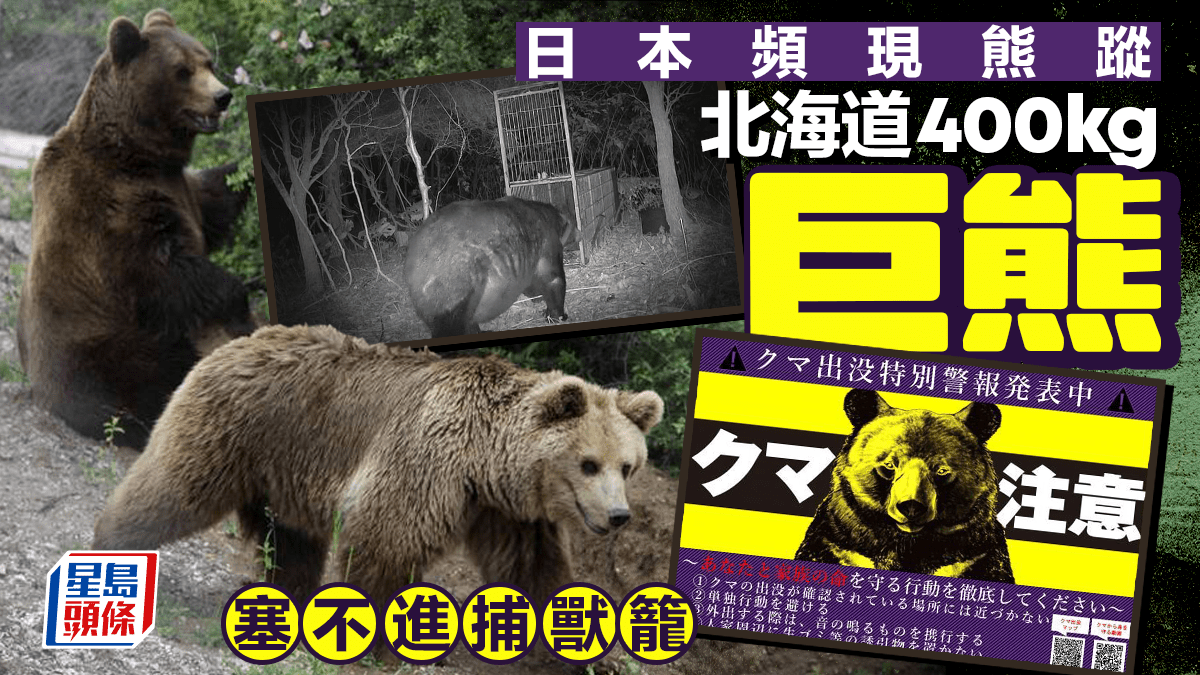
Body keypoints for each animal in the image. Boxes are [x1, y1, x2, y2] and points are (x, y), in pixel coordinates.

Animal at [16, 9, 256, 449]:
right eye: (182, 71)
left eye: (208, 62)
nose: (223, 96)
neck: (137, 152)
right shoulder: (111, 207)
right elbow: (158, 270)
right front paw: (239, 298)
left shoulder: (179, 186)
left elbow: (215, 198)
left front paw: (249, 163)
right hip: (104, 348)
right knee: (148, 379)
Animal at [92, 323, 664, 613]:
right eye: (588, 464)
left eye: (627, 466)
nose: (618, 516)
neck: (485, 460)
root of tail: (241, 339)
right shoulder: (428, 459)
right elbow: (387, 537)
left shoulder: (509, 512)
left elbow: (532, 570)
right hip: (236, 428)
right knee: (173, 487)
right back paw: (111, 543)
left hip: (285, 465)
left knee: (292, 539)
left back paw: (290, 597)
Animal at [794, 388, 1015, 583]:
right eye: (889, 464)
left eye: (941, 470)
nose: (911, 506)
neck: (905, 543)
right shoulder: (837, 546)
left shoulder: (974, 557)